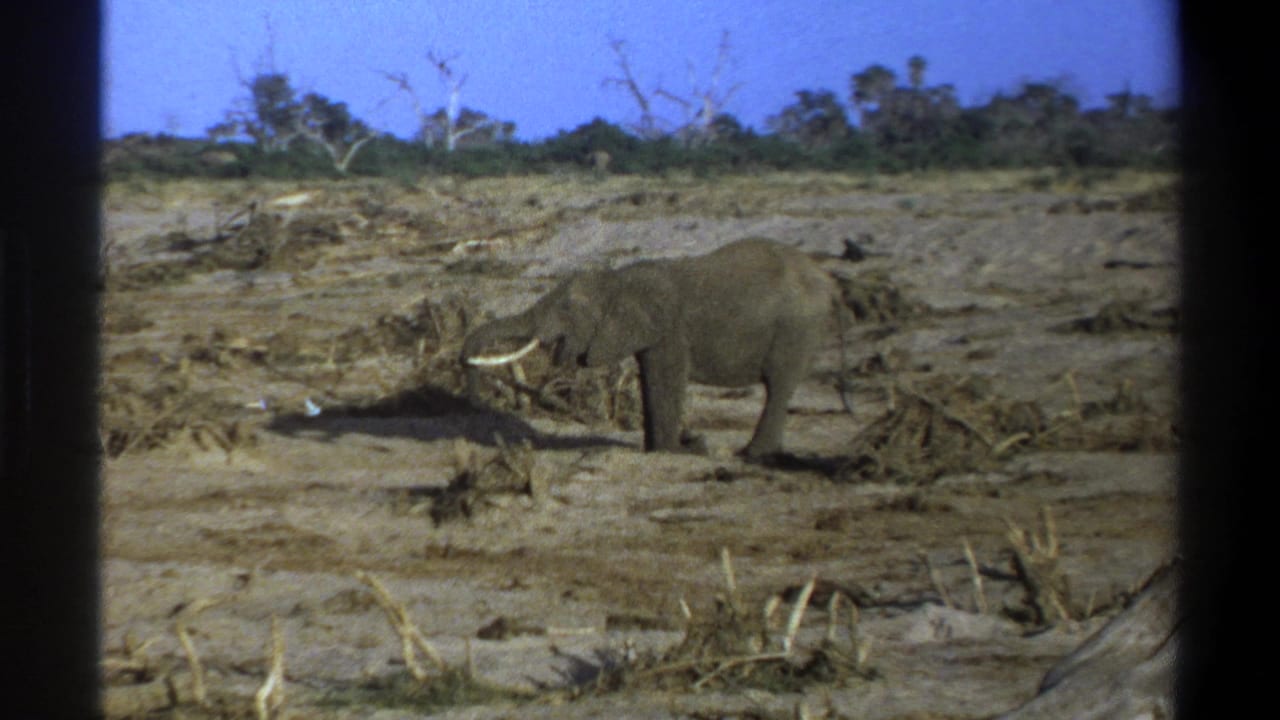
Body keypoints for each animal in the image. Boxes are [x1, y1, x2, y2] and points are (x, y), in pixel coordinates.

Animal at [461, 238, 848, 459]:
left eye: (568, 308)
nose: (477, 401)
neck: (618, 279)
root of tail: (828, 280)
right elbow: (650, 381)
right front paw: (658, 450)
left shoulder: (670, 330)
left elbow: (665, 381)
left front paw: (675, 451)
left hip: (797, 328)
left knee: (779, 386)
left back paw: (752, 455)